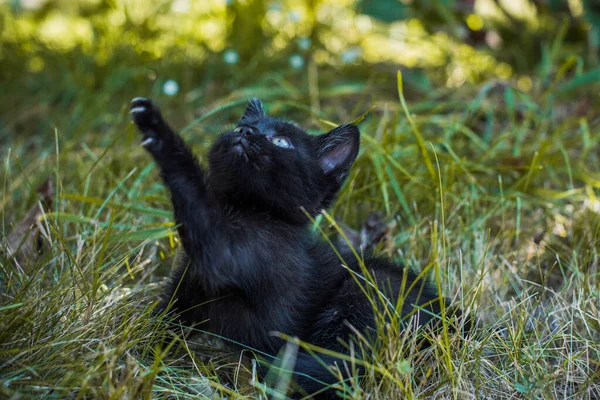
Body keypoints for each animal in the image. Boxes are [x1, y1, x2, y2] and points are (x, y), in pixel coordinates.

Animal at [131, 96, 448, 396]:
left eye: (281, 142)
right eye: (241, 126)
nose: (245, 132)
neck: (247, 209)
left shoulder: (232, 254)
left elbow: (195, 193)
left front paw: (157, 130)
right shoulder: (187, 287)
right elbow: (167, 320)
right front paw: (143, 351)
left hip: (372, 287)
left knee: (343, 366)